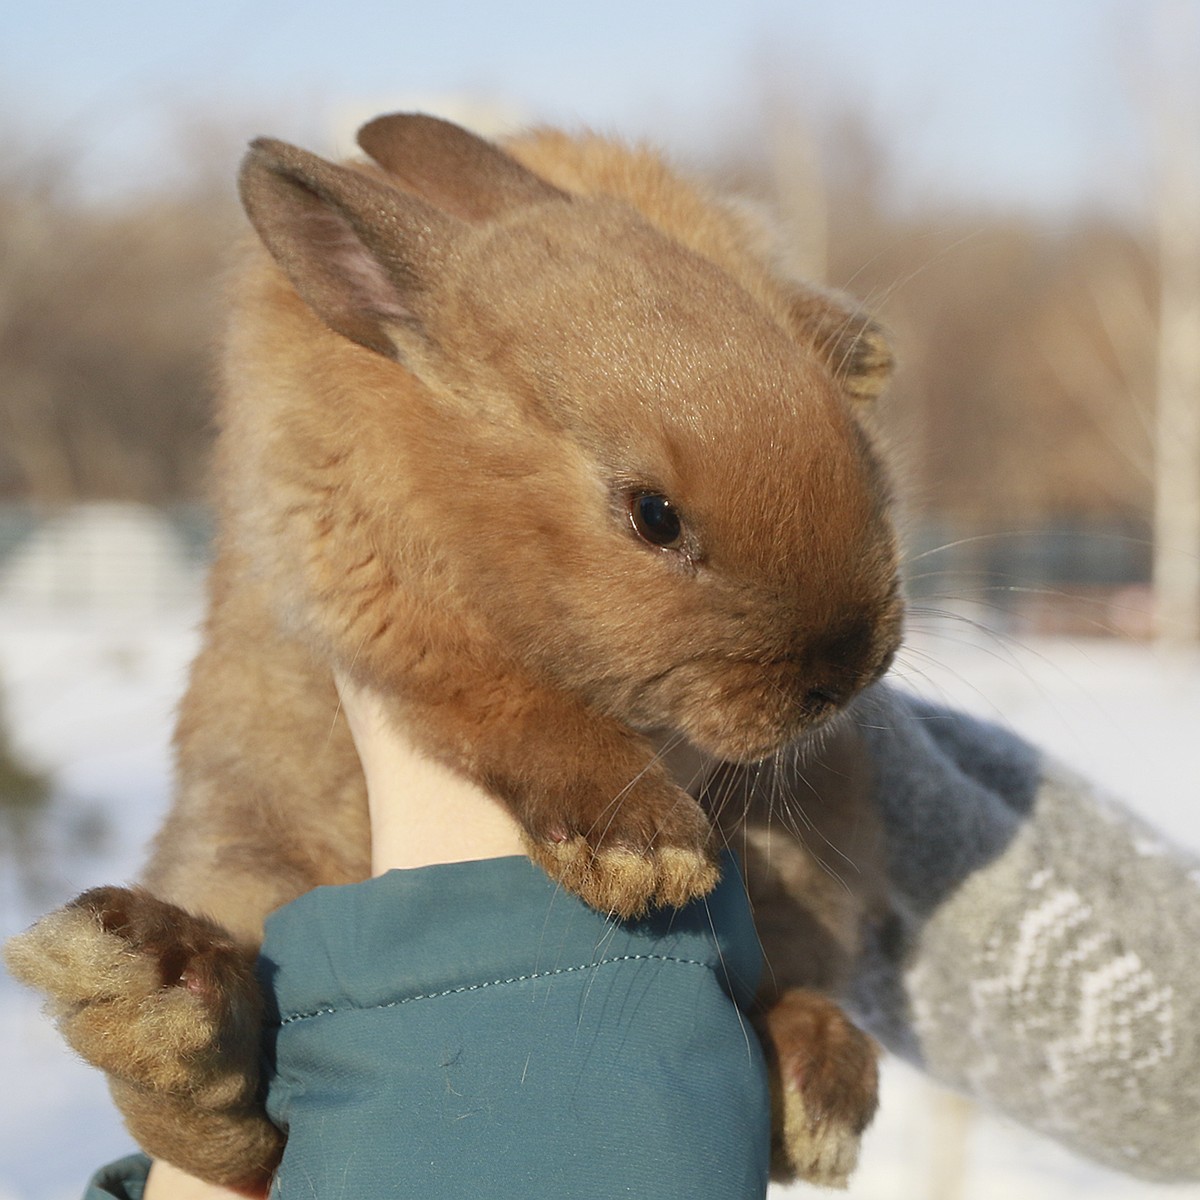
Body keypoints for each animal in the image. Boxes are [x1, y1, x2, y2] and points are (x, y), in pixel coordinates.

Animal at [2, 114, 902, 1190]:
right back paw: (155, 990)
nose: (847, 669)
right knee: (227, 1126)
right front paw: (642, 852)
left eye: (856, 446)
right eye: (653, 515)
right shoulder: (388, 617)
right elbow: (508, 706)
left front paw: (859, 341)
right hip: (247, 848)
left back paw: (820, 1084)